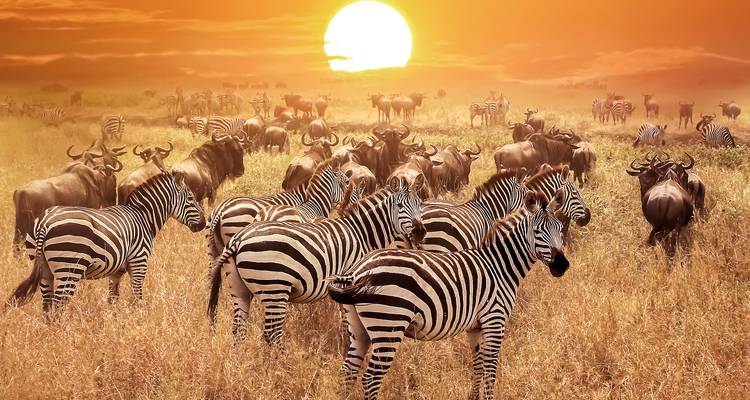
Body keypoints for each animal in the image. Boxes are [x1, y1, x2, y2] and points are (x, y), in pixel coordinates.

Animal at [6, 173, 205, 314]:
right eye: (190, 199)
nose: (203, 224)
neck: (143, 217)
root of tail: (45, 222)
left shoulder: (116, 271)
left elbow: (112, 298)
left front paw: (114, 323)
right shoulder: (139, 262)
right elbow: (137, 296)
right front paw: (139, 319)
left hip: (44, 269)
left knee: (47, 306)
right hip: (69, 268)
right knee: (58, 306)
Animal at [207, 177, 426, 344]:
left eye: (420, 205)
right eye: (400, 205)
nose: (420, 232)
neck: (360, 232)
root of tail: (239, 239)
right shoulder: (348, 281)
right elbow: (345, 319)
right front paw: (346, 341)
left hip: (239, 287)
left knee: (238, 328)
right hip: (275, 287)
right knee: (271, 334)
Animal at [328, 191, 568, 400]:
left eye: (559, 229)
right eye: (537, 231)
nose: (562, 265)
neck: (499, 265)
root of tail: (357, 271)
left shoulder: (475, 326)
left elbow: (478, 365)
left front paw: (473, 397)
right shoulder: (495, 320)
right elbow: (490, 370)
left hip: (359, 329)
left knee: (347, 372)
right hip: (389, 324)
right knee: (370, 378)